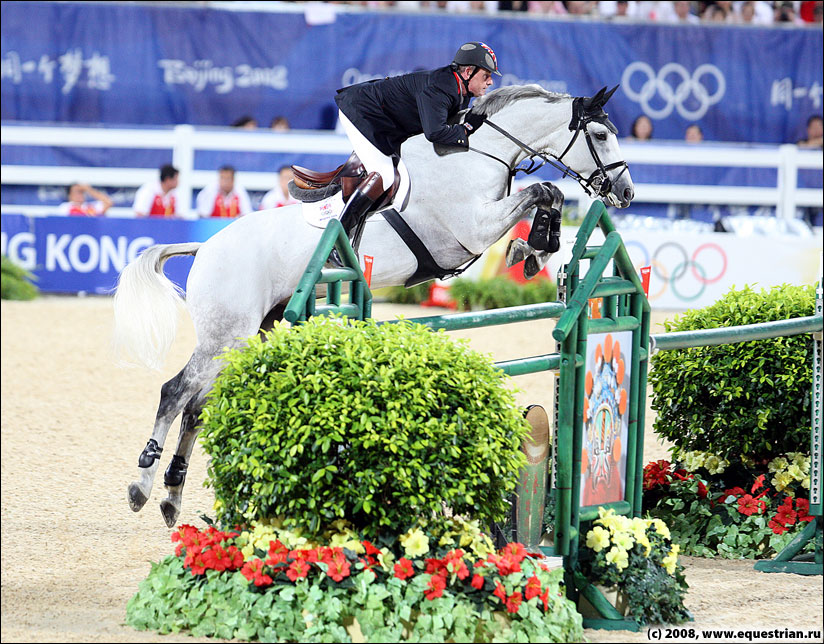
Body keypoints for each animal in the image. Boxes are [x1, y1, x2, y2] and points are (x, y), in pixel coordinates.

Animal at [112, 83, 636, 524]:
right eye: (600, 134)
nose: (626, 192)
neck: (476, 157)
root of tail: (206, 247)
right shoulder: (470, 230)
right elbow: (542, 190)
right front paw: (534, 247)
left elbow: (547, 193)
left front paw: (536, 249)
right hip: (226, 333)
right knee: (175, 392)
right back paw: (142, 486)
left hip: (250, 333)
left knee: (197, 408)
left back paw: (171, 496)